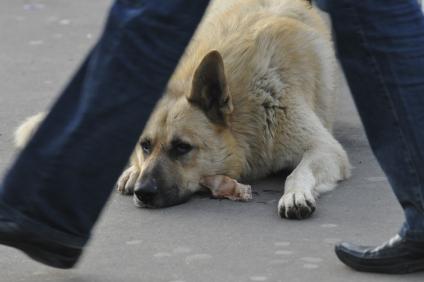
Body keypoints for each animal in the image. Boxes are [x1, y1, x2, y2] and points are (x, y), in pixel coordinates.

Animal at [14, 0, 352, 219]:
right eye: (145, 145)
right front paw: (133, 169)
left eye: (182, 148)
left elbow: (298, 172)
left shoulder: (323, 148)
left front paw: (295, 194)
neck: (245, 113)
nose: (143, 192)